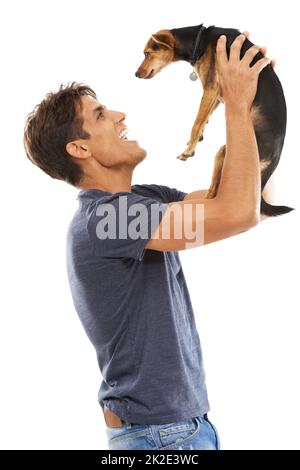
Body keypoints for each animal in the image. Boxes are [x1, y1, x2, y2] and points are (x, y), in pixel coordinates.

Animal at [135, 23, 292, 217]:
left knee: (213, 194)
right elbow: (205, 118)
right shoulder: (217, 94)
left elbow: (196, 122)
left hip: (223, 153)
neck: (200, 39)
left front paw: (188, 150)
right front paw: (196, 140)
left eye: (147, 53)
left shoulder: (210, 88)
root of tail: (275, 158)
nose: (136, 74)